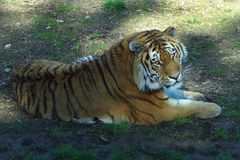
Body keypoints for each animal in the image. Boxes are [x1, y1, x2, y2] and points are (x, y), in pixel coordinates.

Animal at [10, 27, 221, 125]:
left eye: (173, 55)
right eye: (157, 62)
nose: (176, 76)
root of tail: (15, 73)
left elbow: (182, 94)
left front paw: (200, 95)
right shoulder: (159, 109)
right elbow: (189, 107)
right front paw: (215, 108)